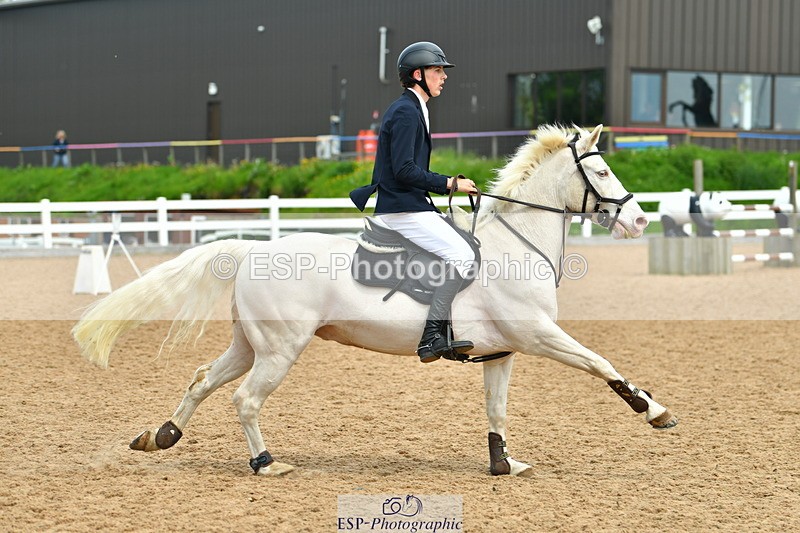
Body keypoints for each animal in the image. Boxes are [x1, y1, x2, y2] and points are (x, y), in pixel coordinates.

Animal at [73, 124, 677, 478]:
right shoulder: (538, 335)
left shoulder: (503, 352)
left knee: (203, 380)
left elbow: (497, 408)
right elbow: (600, 362)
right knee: (245, 400)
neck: (516, 243)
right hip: (280, 349)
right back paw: (265, 463)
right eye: (602, 170)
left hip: (251, 344)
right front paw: (653, 411)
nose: (638, 221)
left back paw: (161, 436)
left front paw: (503, 463)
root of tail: (252, 249)